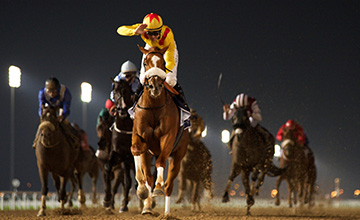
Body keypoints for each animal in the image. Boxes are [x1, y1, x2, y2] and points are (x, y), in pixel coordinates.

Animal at [131, 45, 188, 215]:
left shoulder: (168, 138)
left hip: (179, 154)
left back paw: (167, 213)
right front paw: (142, 191)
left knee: (169, 184)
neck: (154, 107)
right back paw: (147, 207)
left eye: (163, 63)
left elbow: (161, 162)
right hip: (149, 154)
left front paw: (157, 188)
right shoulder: (140, 136)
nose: (155, 86)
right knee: (149, 177)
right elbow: (136, 150)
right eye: (145, 62)